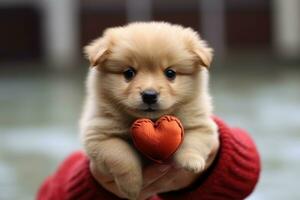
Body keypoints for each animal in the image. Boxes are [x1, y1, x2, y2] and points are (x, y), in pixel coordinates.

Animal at [81, 21, 218, 199]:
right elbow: (121, 156)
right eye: (129, 73)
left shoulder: (201, 125)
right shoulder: (99, 135)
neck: (152, 120)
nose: (149, 95)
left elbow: (193, 142)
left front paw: (192, 162)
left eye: (170, 73)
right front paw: (131, 187)